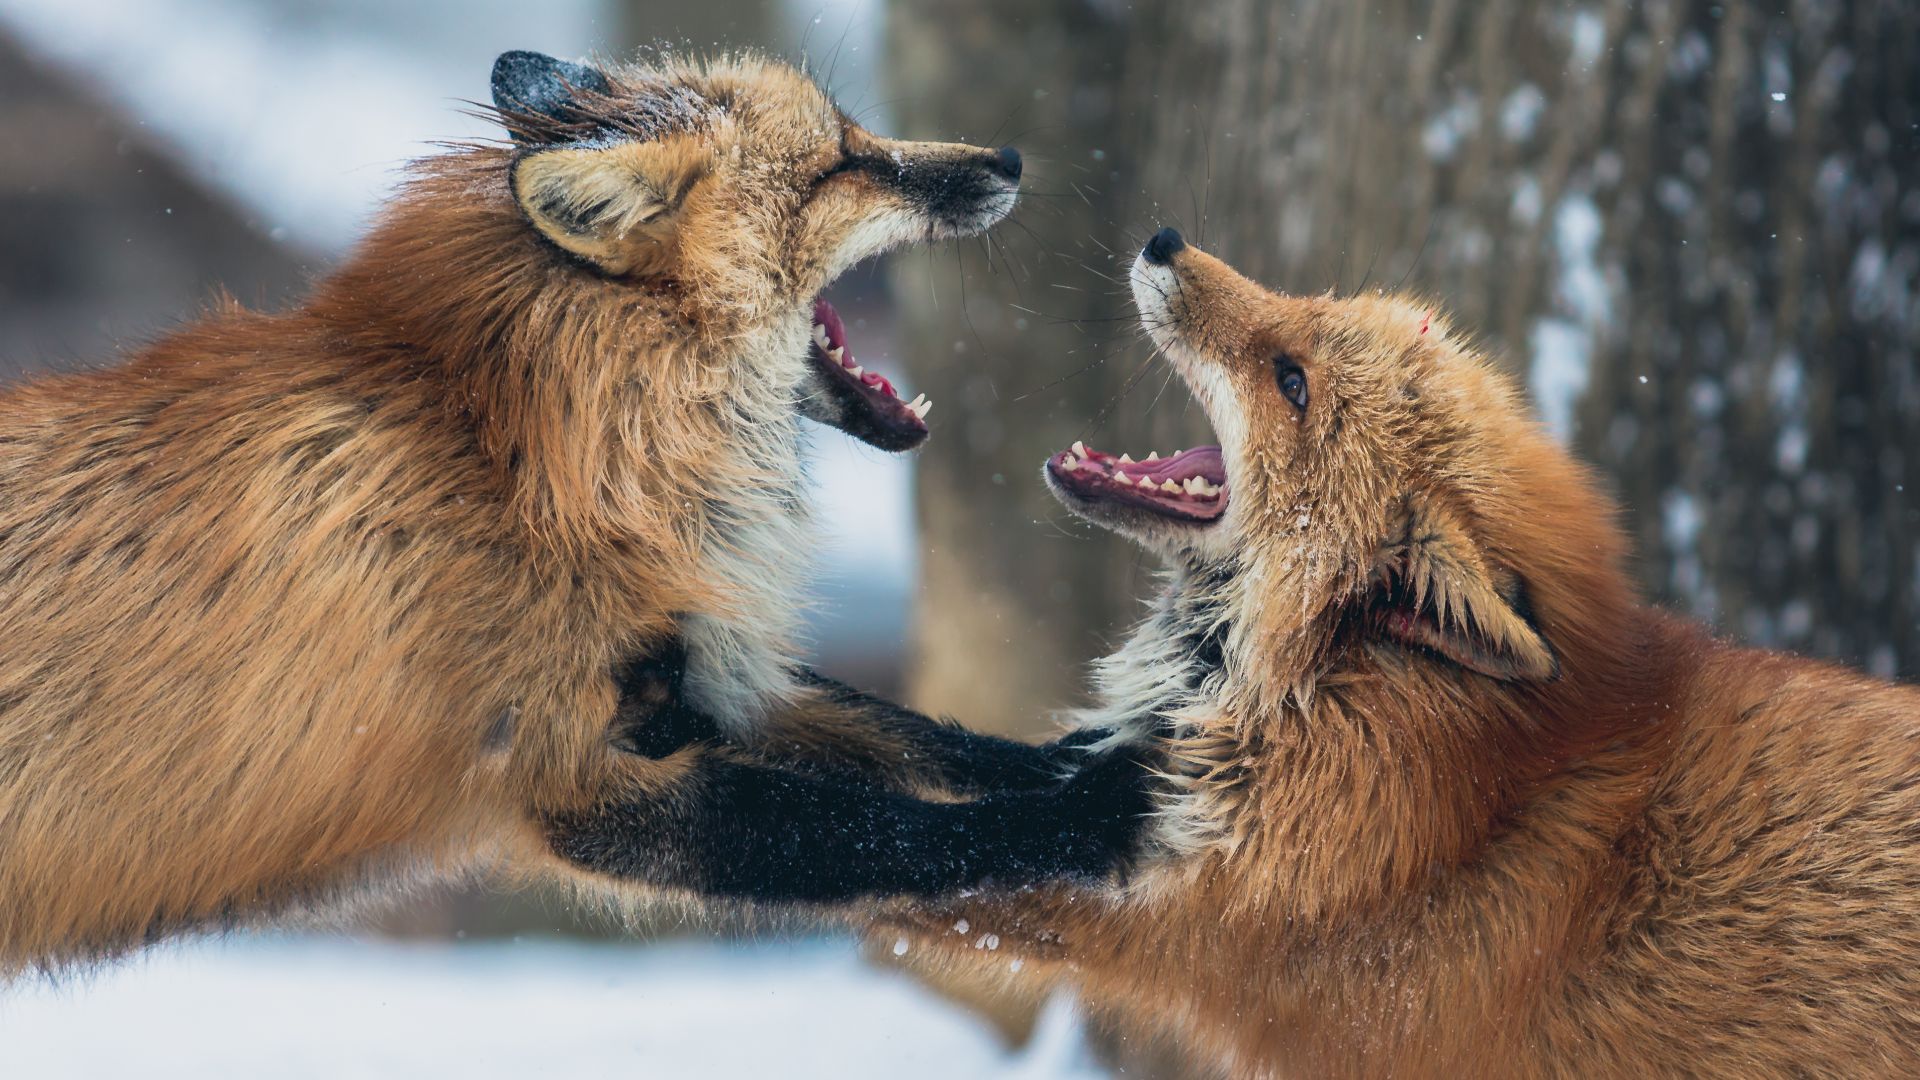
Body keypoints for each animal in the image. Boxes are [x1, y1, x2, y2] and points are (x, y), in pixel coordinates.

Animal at [0, 50, 1154, 974]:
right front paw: (1097, 815)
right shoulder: (578, 776)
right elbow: (890, 832)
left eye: (858, 134)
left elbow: (922, 740)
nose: (1010, 158)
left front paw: (1086, 756)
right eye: (839, 164)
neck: (519, 459)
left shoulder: (704, 674)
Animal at [881, 228, 1920, 1077]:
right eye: (1314, 306)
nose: (1164, 238)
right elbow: (939, 748)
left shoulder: (1163, 915)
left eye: (1292, 382)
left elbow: (907, 853)